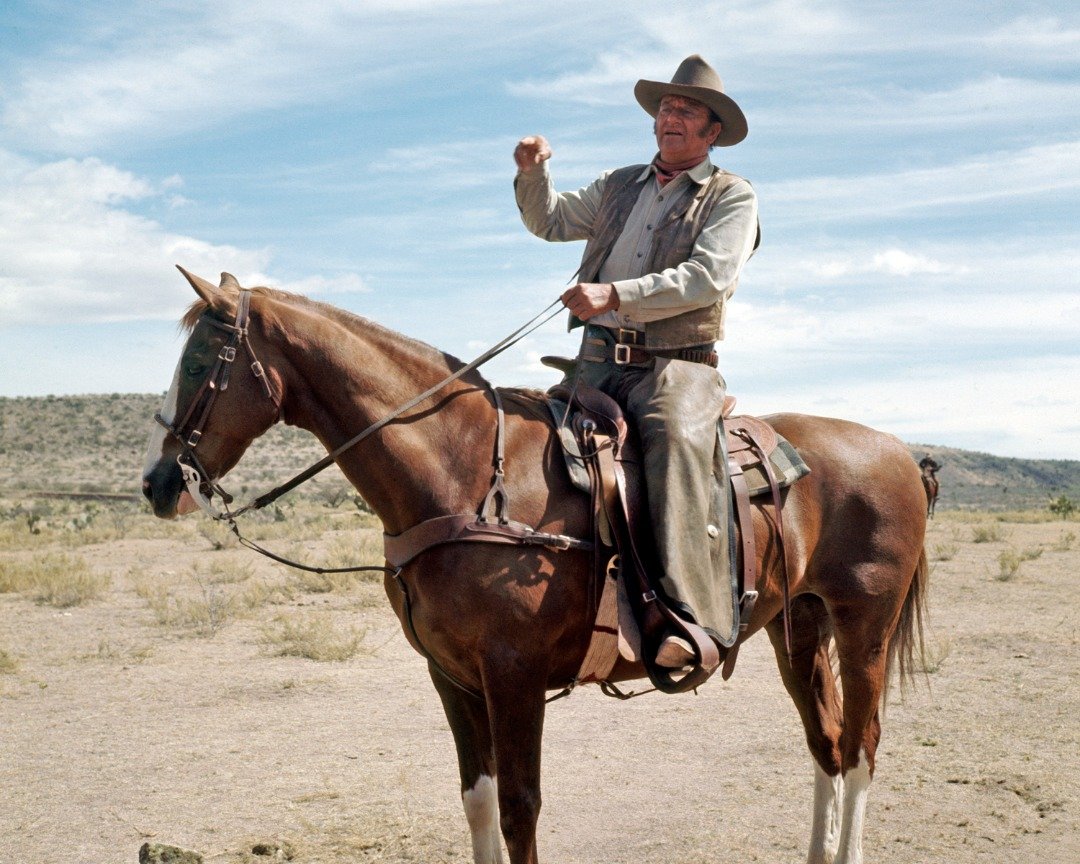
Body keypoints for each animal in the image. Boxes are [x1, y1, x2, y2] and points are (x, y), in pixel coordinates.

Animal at [139, 273, 924, 864]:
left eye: (201, 363)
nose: (156, 484)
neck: (463, 473)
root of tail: (900, 450)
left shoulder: (512, 677)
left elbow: (520, 808)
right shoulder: (452, 676)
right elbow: (479, 802)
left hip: (864, 628)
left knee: (860, 747)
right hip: (799, 629)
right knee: (825, 743)